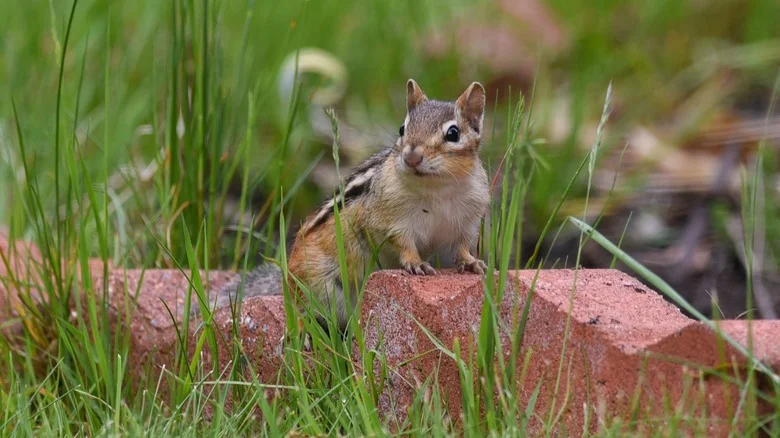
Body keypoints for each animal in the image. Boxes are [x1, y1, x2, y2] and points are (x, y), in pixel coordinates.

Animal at [196, 79, 490, 330]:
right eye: (402, 129)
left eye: (453, 133)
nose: (412, 156)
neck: (437, 189)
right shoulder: (389, 220)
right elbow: (402, 242)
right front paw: (415, 264)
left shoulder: (468, 222)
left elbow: (462, 246)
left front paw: (473, 263)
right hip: (316, 282)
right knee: (298, 306)